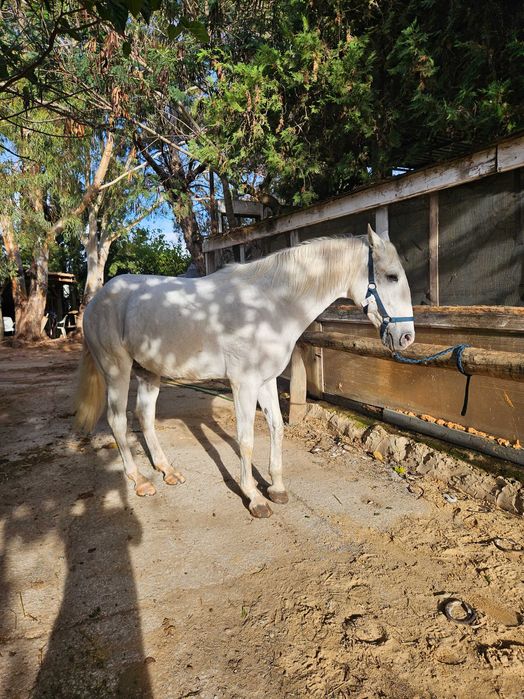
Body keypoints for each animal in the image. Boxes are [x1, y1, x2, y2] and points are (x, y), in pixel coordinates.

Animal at [74, 225, 414, 518]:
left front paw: (276, 488)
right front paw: (254, 497)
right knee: (117, 421)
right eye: (392, 276)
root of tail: (96, 301)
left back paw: (167, 471)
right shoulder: (244, 384)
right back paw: (141, 481)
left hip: (148, 371)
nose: (407, 337)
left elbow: (277, 428)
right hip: (116, 370)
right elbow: (246, 438)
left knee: (144, 416)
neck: (268, 307)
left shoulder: (266, 381)